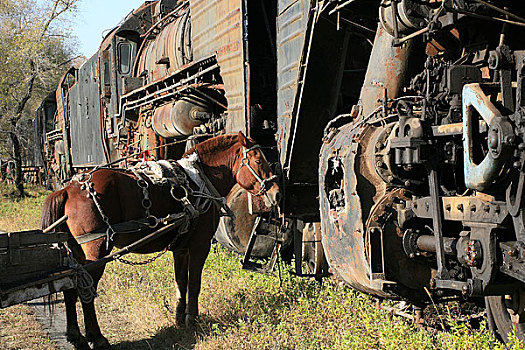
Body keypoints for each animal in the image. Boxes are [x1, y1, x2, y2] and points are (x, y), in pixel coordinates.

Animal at [40, 132, 278, 350]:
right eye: (258, 161)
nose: (276, 193)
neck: (199, 179)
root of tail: (68, 190)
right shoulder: (199, 246)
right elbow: (195, 284)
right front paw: (193, 319)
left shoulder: (181, 248)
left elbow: (181, 282)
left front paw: (179, 318)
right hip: (97, 251)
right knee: (85, 290)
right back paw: (96, 337)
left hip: (74, 252)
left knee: (70, 288)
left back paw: (76, 336)